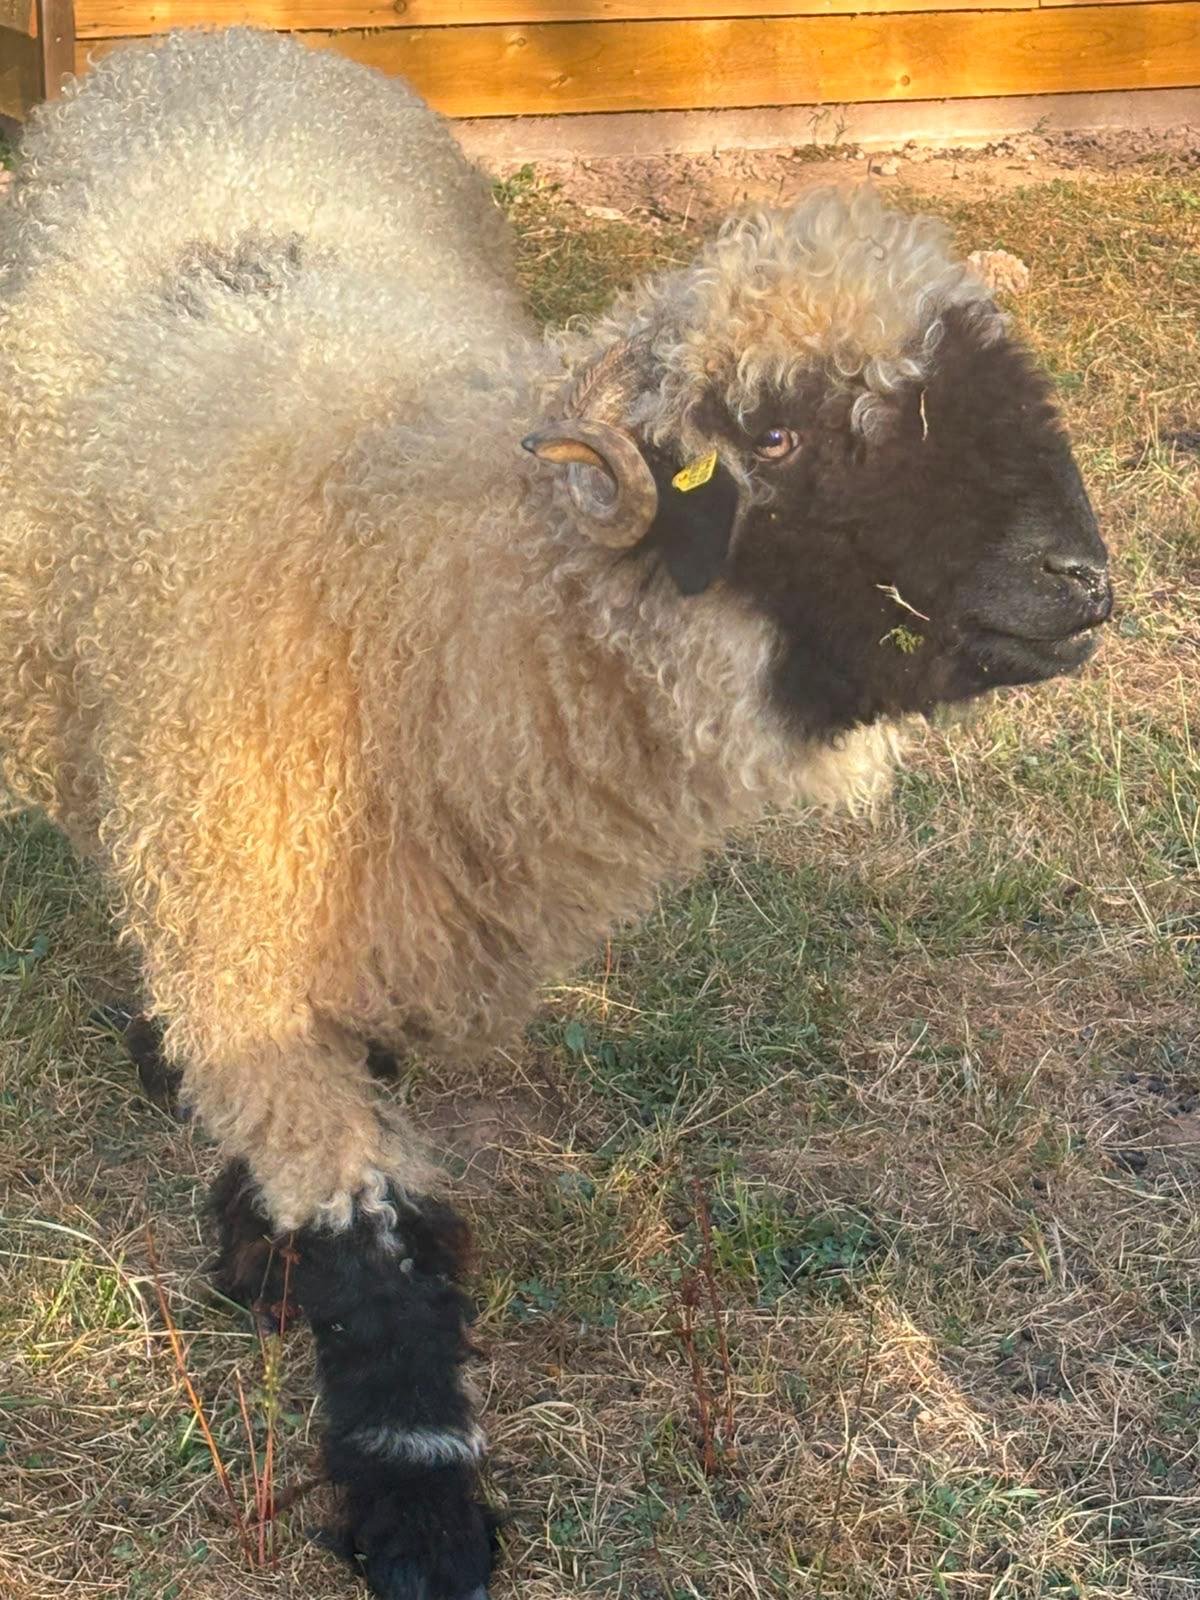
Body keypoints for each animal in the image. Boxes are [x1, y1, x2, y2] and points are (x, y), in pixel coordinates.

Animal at [0, 27, 1112, 1600]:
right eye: (779, 435)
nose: (1081, 584)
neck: (399, 563)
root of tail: (214, 39)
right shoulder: (240, 902)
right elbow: (372, 1252)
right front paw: (419, 1511)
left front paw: (264, 1253)